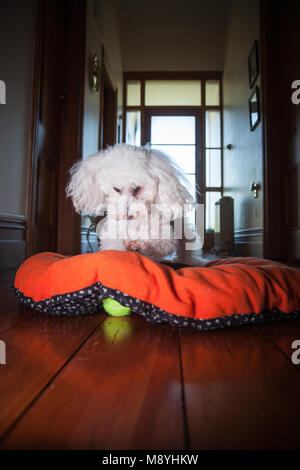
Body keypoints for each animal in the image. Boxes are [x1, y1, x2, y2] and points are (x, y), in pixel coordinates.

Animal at [67, 144, 196, 260]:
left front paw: (139, 243)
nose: (127, 214)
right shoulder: (112, 238)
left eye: (137, 188)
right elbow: (115, 246)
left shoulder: (164, 238)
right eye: (116, 189)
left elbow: (156, 244)